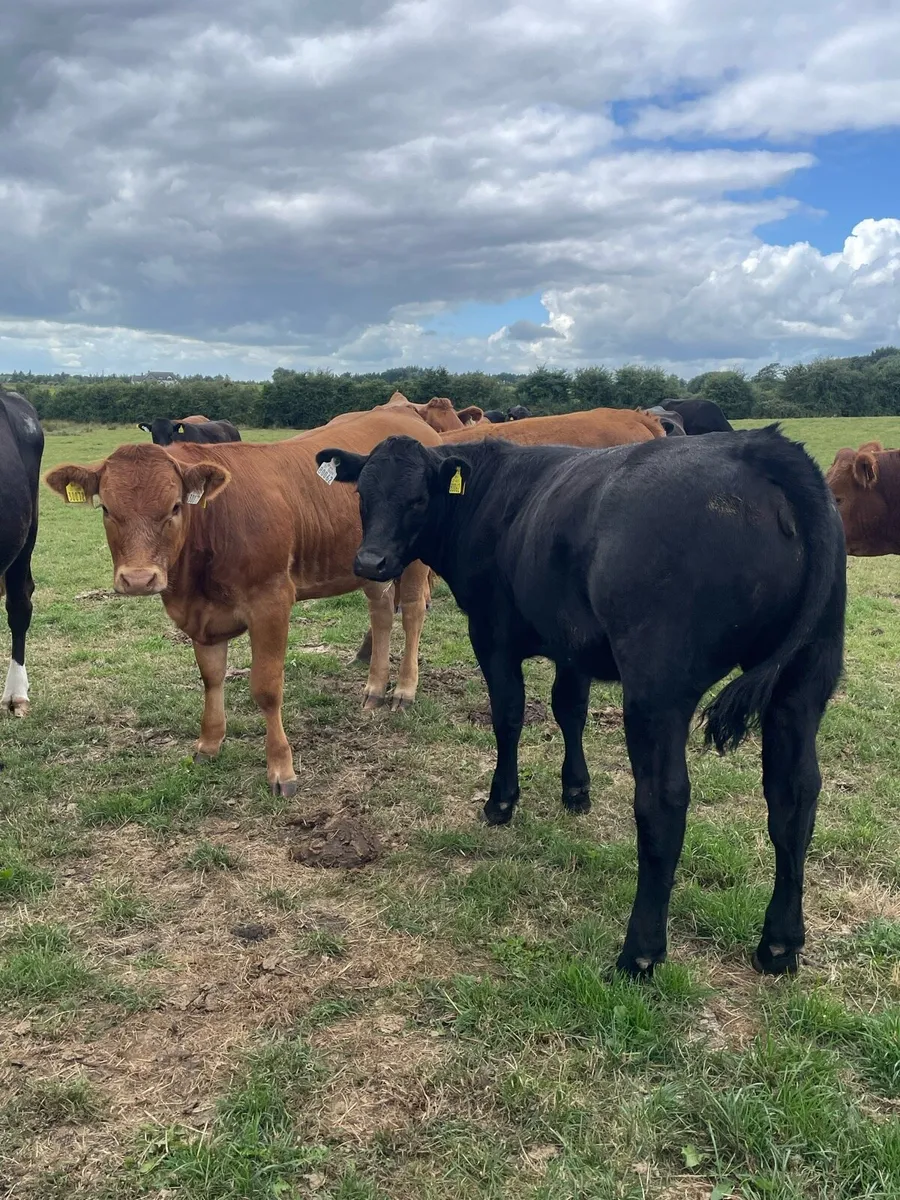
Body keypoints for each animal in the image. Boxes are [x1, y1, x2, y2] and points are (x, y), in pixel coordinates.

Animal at [45, 407, 441, 796]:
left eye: (174, 507)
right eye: (106, 510)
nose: (139, 579)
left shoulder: (272, 602)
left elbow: (266, 688)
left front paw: (281, 769)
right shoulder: (201, 615)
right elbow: (211, 677)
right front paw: (208, 744)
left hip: (415, 561)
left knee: (411, 613)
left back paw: (404, 690)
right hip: (369, 564)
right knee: (381, 612)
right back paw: (374, 688)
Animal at [316, 427, 846, 978]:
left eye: (418, 499)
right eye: (363, 495)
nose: (370, 562)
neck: (489, 497)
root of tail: (760, 447)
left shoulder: (492, 635)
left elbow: (508, 716)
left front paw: (501, 801)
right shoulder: (572, 643)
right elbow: (569, 709)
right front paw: (576, 791)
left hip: (658, 686)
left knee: (664, 801)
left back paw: (639, 953)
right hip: (804, 679)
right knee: (794, 795)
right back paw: (780, 945)